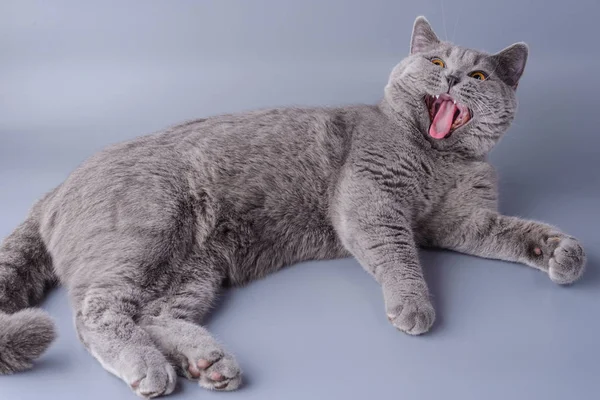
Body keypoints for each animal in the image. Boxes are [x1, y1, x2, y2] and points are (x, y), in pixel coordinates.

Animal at [0, 14, 584, 396]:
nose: (454, 76)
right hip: (146, 233)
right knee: (97, 314)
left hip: (192, 269)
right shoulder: (369, 200)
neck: (438, 159)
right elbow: (398, 255)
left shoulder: (461, 221)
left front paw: (561, 252)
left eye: (480, 75)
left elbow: (509, 231)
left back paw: (208, 362)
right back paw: (152, 368)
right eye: (436, 59)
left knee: (155, 314)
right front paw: (413, 306)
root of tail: (54, 189)